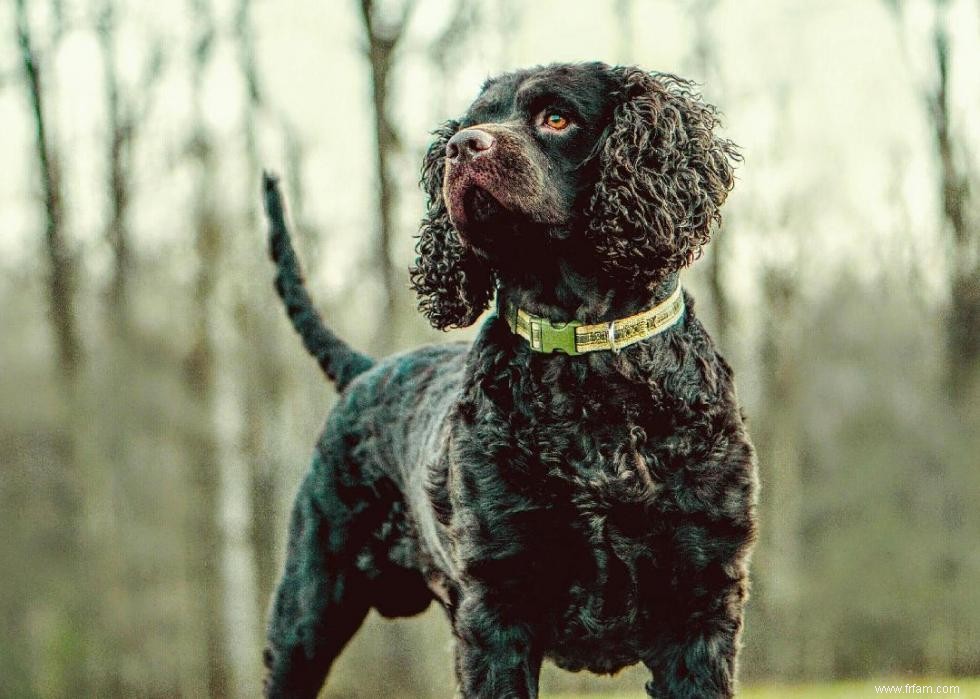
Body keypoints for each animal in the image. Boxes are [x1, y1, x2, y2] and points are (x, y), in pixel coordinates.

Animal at [258, 61, 756, 699]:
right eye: (470, 123)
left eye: (556, 117)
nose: (461, 148)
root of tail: (366, 370)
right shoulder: (498, 605)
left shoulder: (702, 604)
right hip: (307, 611)